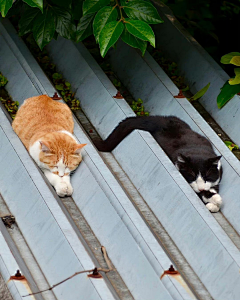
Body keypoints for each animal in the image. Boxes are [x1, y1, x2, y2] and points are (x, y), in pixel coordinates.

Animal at [94, 116, 222, 212]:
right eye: (191, 175)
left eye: (206, 176)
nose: (201, 188)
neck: (197, 151)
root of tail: (160, 120)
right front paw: (213, 202)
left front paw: (213, 198)